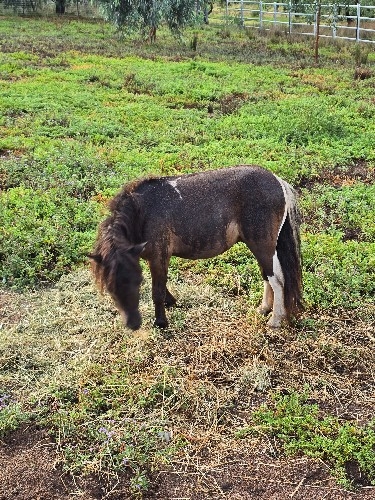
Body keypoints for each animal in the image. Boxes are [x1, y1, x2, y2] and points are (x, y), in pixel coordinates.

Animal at [89, 165, 304, 332]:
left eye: (136, 282)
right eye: (109, 288)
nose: (132, 324)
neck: (142, 210)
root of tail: (277, 181)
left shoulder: (159, 255)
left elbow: (157, 290)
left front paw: (161, 322)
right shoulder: (153, 258)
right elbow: (161, 284)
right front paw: (170, 303)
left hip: (262, 246)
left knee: (277, 280)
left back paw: (275, 320)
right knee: (268, 276)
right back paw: (264, 309)